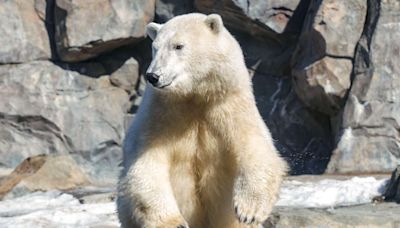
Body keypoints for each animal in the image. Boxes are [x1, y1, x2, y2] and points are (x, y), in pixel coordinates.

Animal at [116, 12, 288, 228]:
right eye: (155, 47)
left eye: (178, 46)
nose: (153, 76)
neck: (196, 97)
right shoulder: (160, 113)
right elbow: (146, 163)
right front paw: (174, 223)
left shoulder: (230, 107)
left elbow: (256, 148)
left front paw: (249, 211)